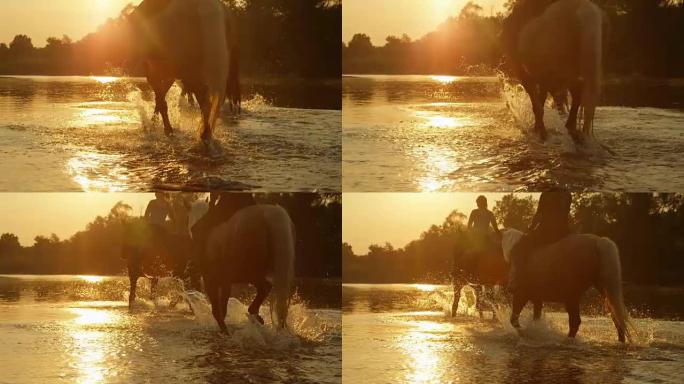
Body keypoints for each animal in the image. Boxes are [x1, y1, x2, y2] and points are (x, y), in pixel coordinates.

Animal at [127, 0, 240, 141]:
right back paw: (206, 133)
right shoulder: (169, 74)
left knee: (204, 101)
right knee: (208, 100)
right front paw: (157, 124)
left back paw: (204, 133)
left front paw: (163, 128)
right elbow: (161, 98)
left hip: (191, 72)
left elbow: (161, 99)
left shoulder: (154, 72)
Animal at [500, 228, 632, 342]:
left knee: (575, 322)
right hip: (603, 288)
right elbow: (536, 318)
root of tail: (598, 241)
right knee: (616, 317)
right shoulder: (537, 298)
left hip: (572, 295)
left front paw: (525, 333)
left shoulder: (520, 294)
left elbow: (514, 320)